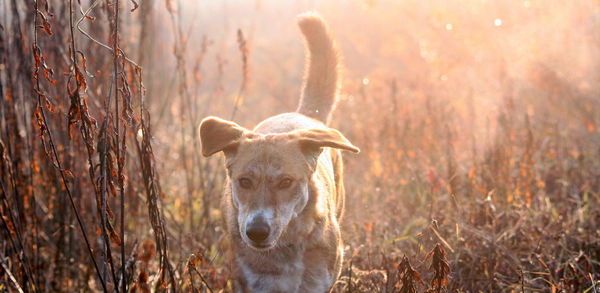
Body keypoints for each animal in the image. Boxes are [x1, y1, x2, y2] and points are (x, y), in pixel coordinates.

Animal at [199, 12, 358, 292]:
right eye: (244, 181)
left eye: (286, 182)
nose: (256, 231)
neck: (285, 250)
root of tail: (305, 114)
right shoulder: (252, 284)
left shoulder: (317, 283)